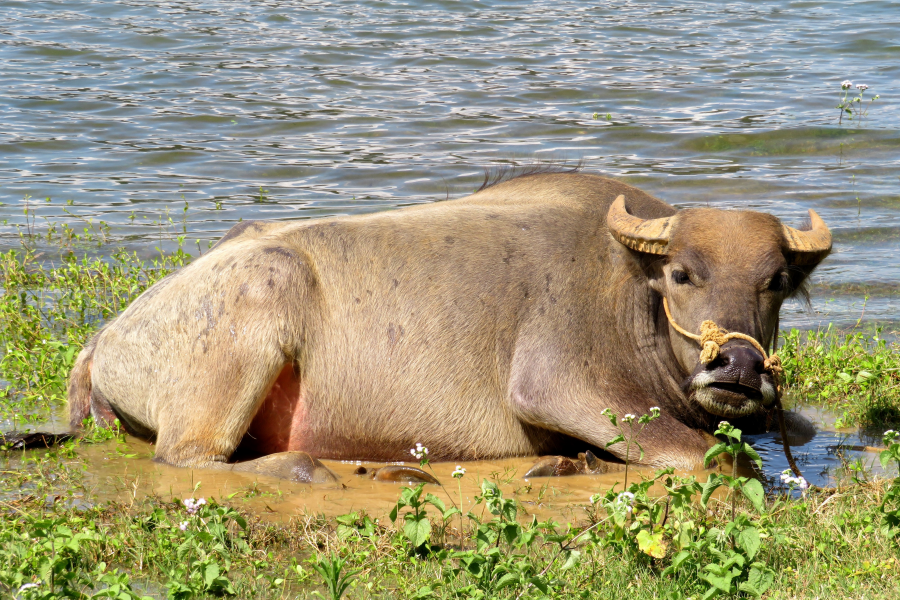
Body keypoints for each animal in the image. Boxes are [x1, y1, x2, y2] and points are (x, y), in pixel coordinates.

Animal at [67, 171, 832, 480]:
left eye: (776, 282)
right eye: (682, 273)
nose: (737, 367)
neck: (630, 294)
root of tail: (106, 337)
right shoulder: (558, 382)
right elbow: (715, 456)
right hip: (264, 292)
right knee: (192, 457)